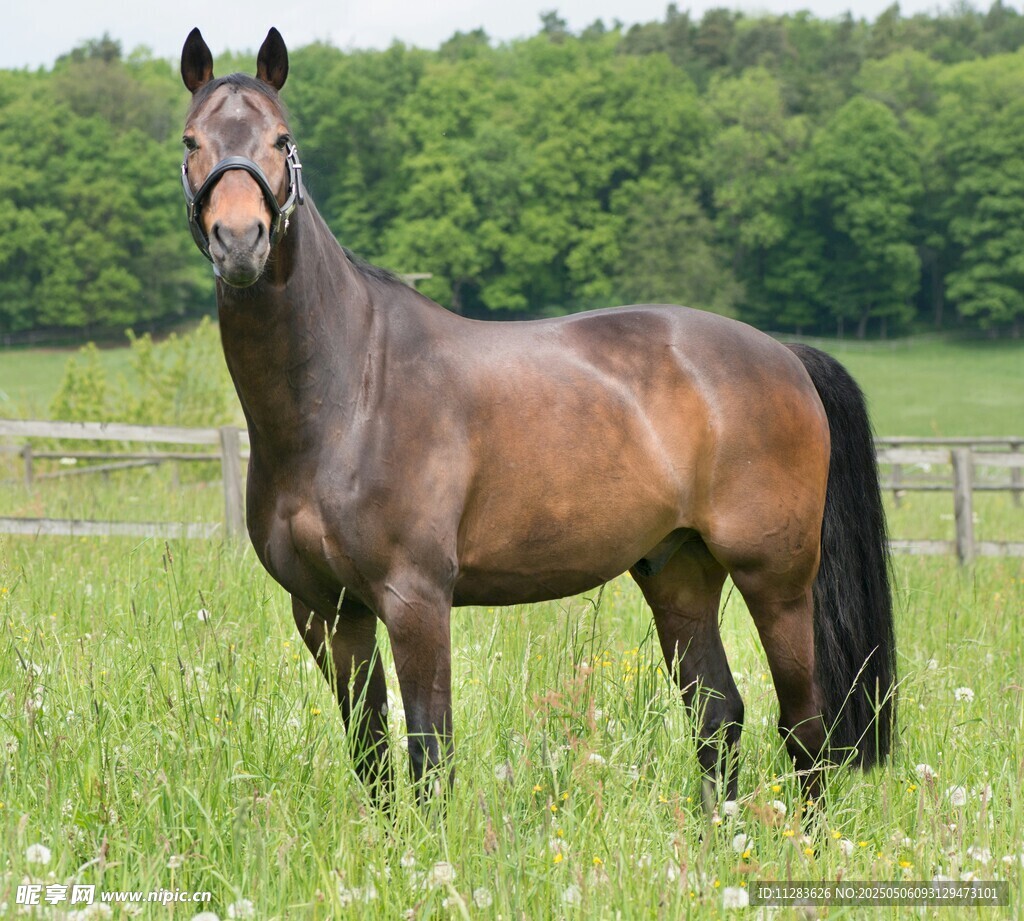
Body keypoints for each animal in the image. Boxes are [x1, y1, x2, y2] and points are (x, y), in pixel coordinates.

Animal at [179, 27, 896, 810]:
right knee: (718, 714)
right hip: (679, 573)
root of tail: (784, 355)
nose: (240, 240)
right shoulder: (325, 611)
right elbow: (372, 758)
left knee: (805, 728)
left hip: (776, 578)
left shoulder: (415, 600)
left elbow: (429, 754)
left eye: (282, 140)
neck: (349, 393)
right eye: (191, 141)